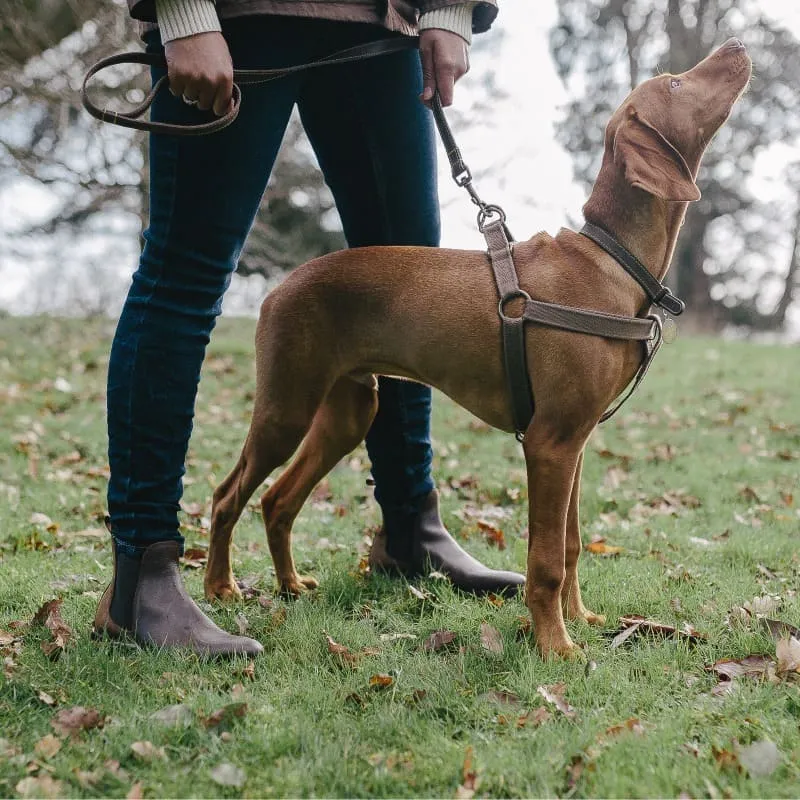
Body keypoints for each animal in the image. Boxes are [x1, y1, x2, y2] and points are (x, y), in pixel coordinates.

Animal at [203, 39, 752, 656]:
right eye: (676, 84)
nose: (737, 45)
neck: (611, 260)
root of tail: (279, 285)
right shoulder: (550, 443)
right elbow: (545, 560)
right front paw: (554, 646)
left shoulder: (577, 441)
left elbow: (571, 545)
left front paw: (579, 619)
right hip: (287, 406)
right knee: (227, 496)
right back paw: (221, 588)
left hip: (349, 411)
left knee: (277, 500)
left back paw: (291, 585)